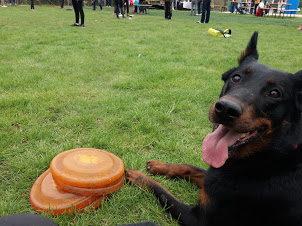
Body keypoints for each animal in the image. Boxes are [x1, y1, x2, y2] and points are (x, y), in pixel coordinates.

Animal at [125, 32, 302, 226]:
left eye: (274, 93)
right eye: (236, 77)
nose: (226, 109)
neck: (268, 156)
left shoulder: (200, 219)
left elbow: (162, 192)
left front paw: (137, 176)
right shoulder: (212, 181)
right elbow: (189, 167)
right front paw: (160, 166)